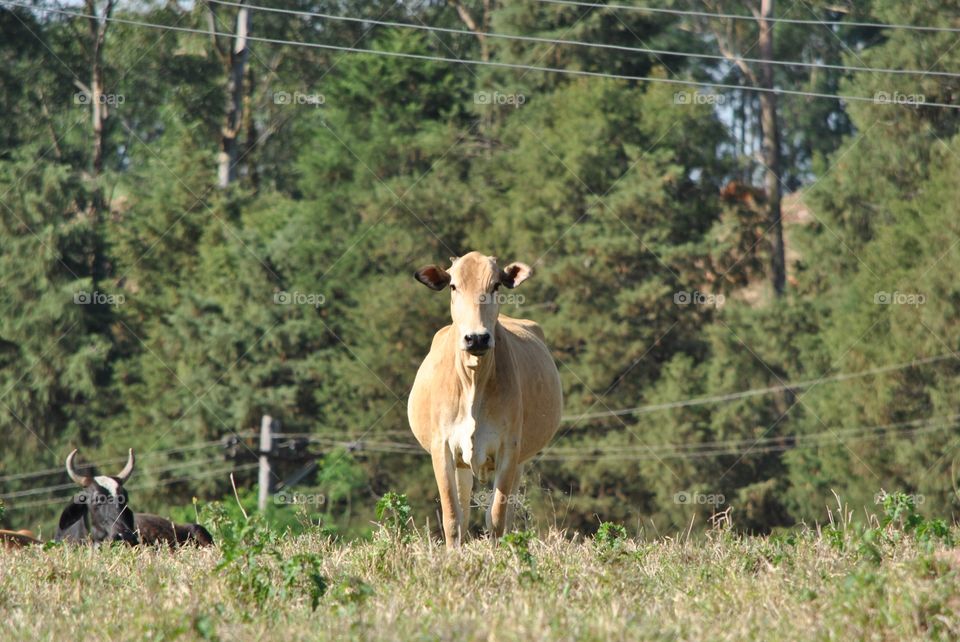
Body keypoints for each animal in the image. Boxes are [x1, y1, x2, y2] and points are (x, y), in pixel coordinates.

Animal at [406, 250, 564, 544]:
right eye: (453, 286)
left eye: (496, 285)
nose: (477, 338)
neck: (473, 382)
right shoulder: (442, 447)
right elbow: (453, 518)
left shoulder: (509, 448)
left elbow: (497, 519)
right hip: (462, 464)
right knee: (464, 511)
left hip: (520, 460)